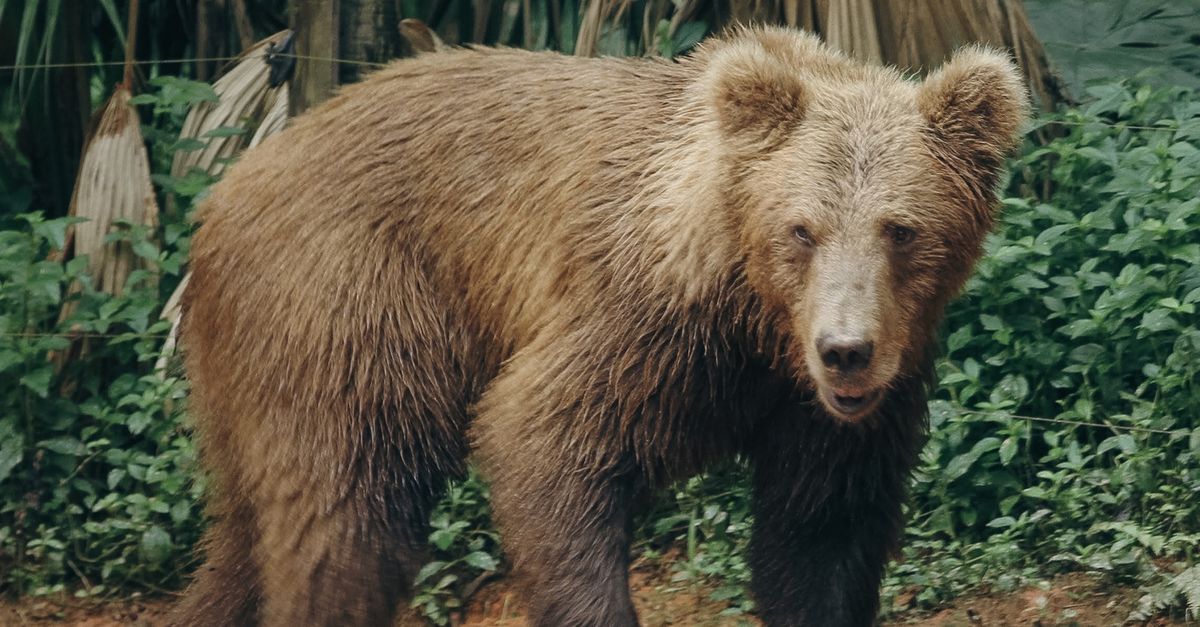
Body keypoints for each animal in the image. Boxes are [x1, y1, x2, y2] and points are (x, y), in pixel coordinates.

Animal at [172, 26, 1027, 627]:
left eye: (901, 228)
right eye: (802, 228)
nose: (846, 351)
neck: (755, 321)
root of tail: (221, 197)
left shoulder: (832, 411)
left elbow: (821, 534)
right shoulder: (638, 323)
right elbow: (542, 440)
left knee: (246, 535)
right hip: (350, 302)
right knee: (349, 510)